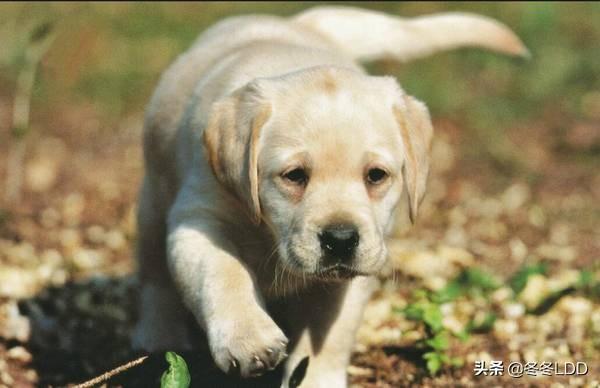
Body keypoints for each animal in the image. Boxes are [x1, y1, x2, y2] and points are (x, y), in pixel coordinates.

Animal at [132, 4, 524, 386]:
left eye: (376, 175)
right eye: (294, 176)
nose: (341, 239)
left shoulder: (358, 267)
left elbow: (327, 335)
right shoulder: (198, 219)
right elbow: (222, 271)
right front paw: (249, 337)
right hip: (153, 201)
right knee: (155, 277)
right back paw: (158, 334)